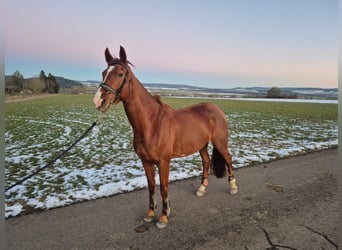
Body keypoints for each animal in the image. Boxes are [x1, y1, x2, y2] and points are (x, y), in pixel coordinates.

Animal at [93, 45, 238, 229]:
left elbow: (163, 188)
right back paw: (201, 189)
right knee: (206, 162)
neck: (152, 123)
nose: (99, 101)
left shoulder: (163, 162)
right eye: (104, 72)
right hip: (202, 145)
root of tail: (216, 109)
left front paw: (163, 217)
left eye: (120, 73)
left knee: (228, 159)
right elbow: (151, 187)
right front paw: (150, 214)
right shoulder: (146, 162)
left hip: (220, 142)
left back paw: (233, 186)